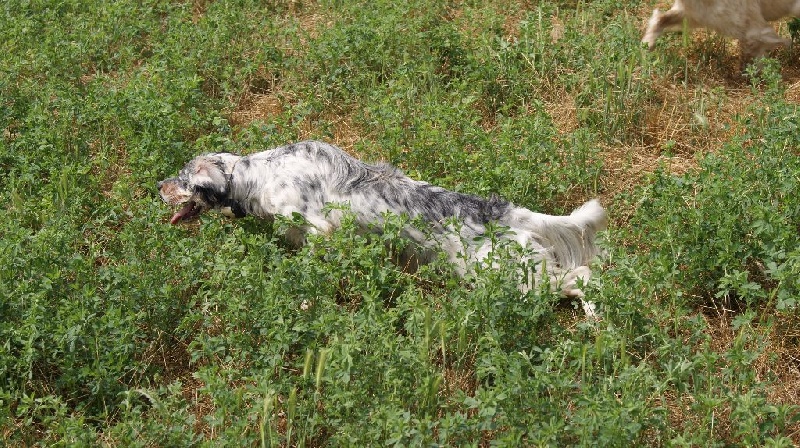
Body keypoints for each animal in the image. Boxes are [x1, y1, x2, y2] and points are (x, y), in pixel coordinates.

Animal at [158, 139, 608, 316]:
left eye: (182, 179)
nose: (157, 187)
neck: (255, 175)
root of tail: (504, 212)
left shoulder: (318, 228)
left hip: (508, 278)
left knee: (582, 274)